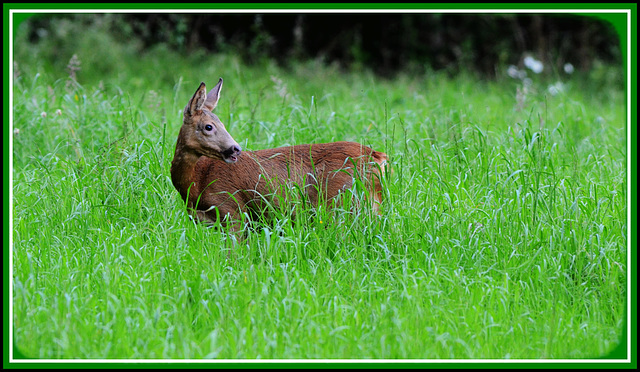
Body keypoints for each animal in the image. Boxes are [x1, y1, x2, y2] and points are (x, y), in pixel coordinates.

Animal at [170, 77, 388, 231]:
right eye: (209, 126)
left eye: (221, 124)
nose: (235, 148)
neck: (196, 183)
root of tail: (377, 157)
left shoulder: (232, 211)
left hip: (341, 203)